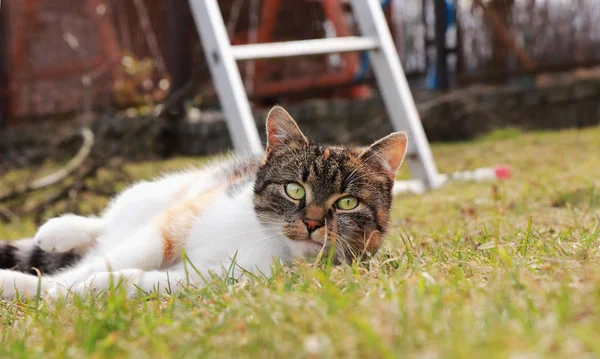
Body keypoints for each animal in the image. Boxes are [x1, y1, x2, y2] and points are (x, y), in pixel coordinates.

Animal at [0, 105, 408, 300]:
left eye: (347, 203)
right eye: (295, 189)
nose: (312, 223)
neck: (267, 241)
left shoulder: (218, 279)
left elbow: (137, 279)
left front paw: (87, 291)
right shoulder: (175, 224)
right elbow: (108, 261)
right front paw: (34, 287)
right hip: (169, 192)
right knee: (113, 222)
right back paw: (61, 230)